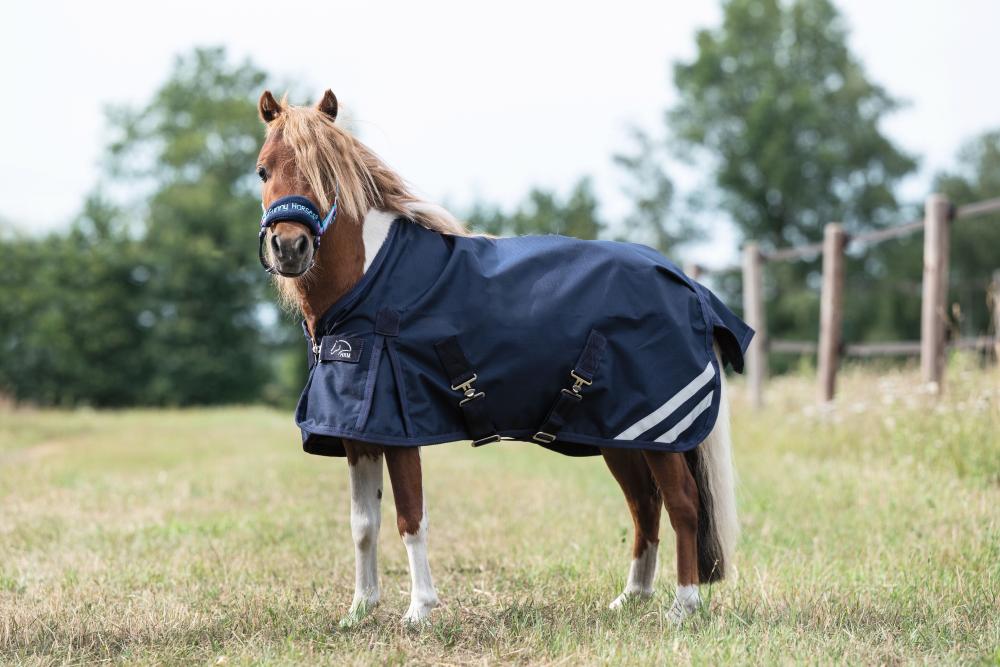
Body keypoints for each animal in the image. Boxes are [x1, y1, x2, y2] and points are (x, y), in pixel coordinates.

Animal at [254, 89, 740, 626]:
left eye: (326, 176)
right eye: (262, 170)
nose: (290, 247)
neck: (369, 284)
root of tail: (691, 287)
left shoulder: (399, 430)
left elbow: (410, 518)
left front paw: (419, 611)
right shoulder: (358, 433)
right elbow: (364, 523)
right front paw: (360, 610)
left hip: (662, 436)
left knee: (682, 505)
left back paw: (682, 607)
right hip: (623, 434)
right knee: (644, 505)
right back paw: (631, 598)